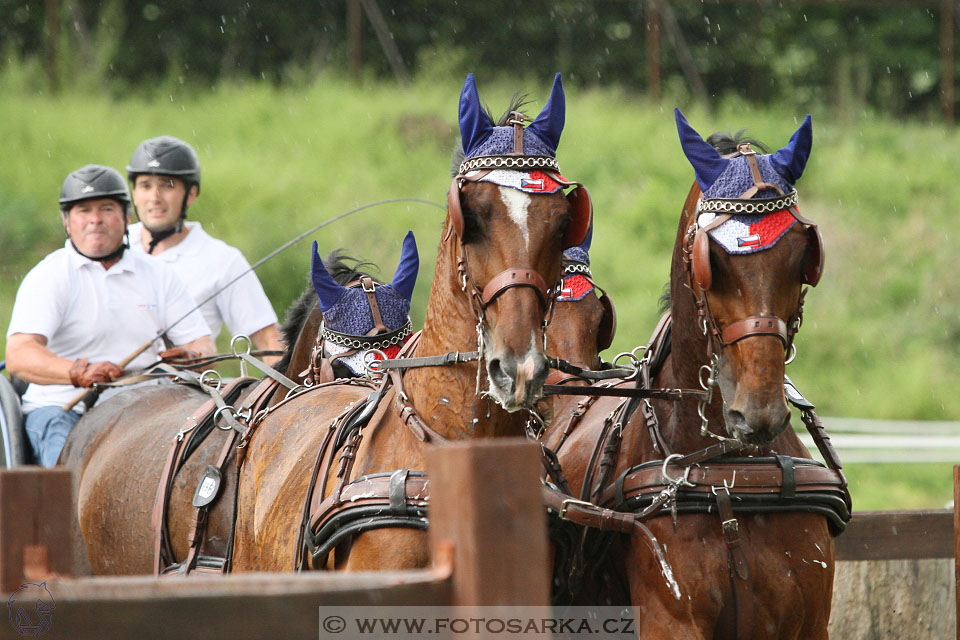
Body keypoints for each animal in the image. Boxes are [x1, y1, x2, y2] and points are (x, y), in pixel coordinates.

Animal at [544, 107, 852, 636]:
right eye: (712, 261)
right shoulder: (670, 618)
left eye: (803, 257)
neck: (731, 475)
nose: (758, 412)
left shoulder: (811, 623)